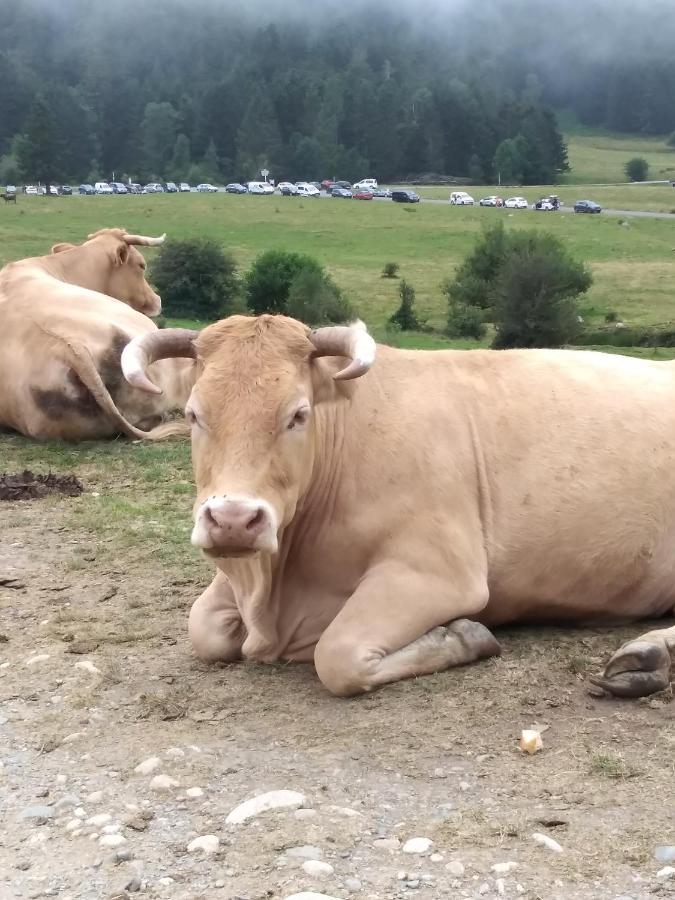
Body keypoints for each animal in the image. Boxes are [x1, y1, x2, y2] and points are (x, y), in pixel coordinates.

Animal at [120, 312, 672, 700]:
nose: (233, 520)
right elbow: (203, 629)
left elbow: (337, 654)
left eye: (298, 414)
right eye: (195, 414)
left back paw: (649, 657)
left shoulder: (438, 572)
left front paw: (465, 636)